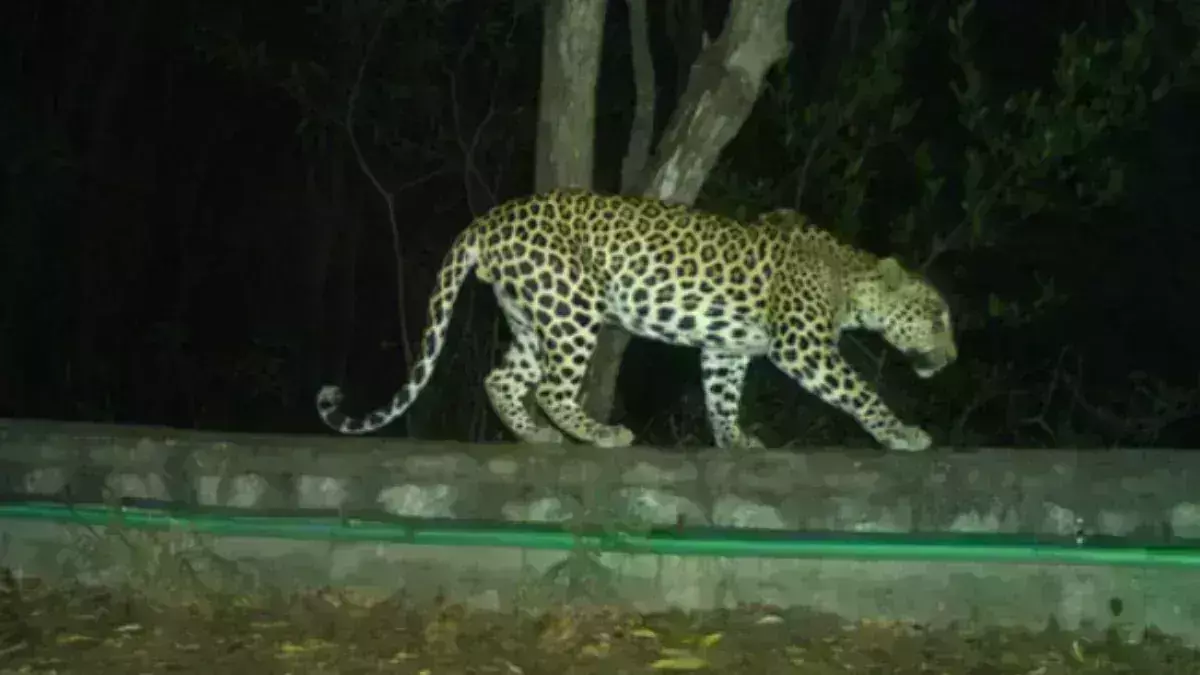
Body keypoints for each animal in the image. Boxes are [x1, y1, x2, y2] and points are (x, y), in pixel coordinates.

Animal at [316, 188, 957, 451]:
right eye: (937, 319)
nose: (951, 358)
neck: (852, 277)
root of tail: (489, 219)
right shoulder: (804, 346)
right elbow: (860, 392)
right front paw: (901, 433)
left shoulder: (725, 349)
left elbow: (722, 396)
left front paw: (735, 441)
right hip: (572, 304)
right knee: (551, 388)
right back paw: (600, 434)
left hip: (532, 315)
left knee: (503, 379)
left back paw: (538, 436)